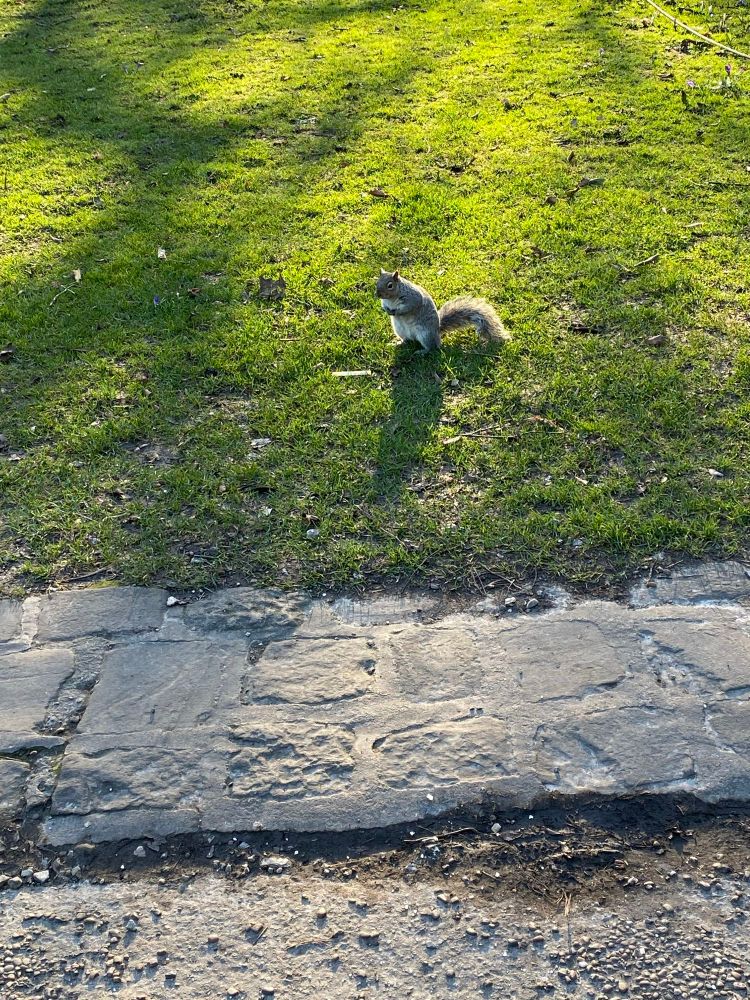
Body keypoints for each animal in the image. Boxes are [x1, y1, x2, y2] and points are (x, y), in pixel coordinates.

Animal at [376, 269, 510, 354]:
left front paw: (397, 312)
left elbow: (410, 307)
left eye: (390, 285)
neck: (391, 299)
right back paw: (398, 343)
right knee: (406, 340)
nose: (377, 294)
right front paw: (386, 310)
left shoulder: (413, 297)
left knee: (433, 347)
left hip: (425, 334)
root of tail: (437, 331)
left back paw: (422, 351)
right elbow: (384, 305)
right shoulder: (385, 302)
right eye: (377, 281)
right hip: (400, 330)